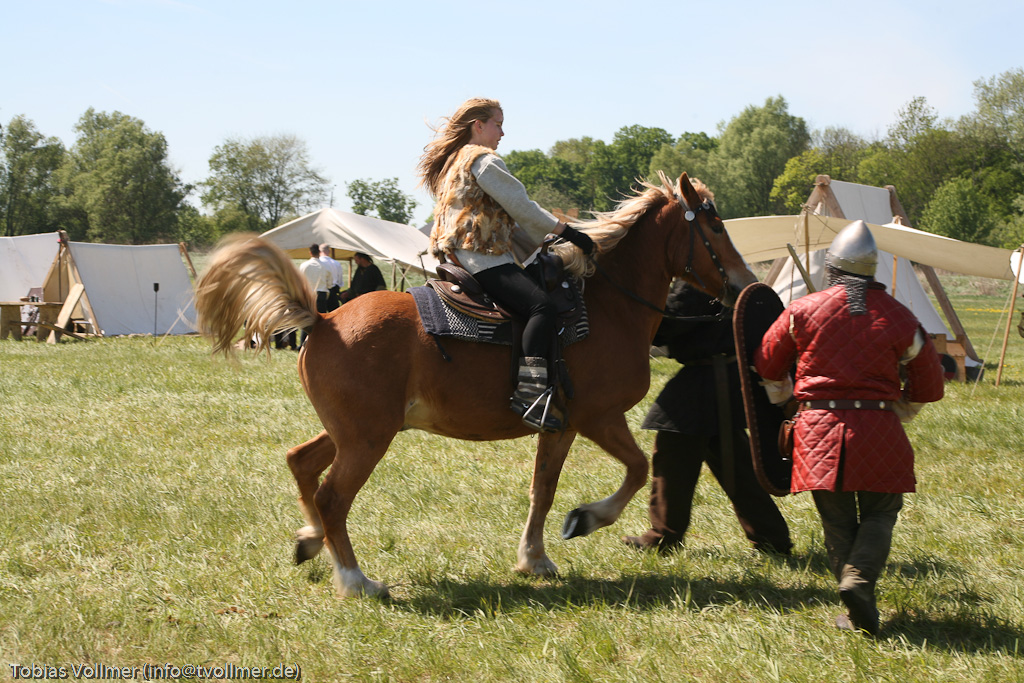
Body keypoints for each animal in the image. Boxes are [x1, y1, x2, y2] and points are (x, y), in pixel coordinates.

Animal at [194, 171, 757, 599]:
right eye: (714, 225)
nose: (743, 282)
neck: (605, 307)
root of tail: (324, 319)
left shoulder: (560, 425)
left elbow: (543, 489)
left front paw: (534, 558)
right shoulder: (598, 417)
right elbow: (637, 469)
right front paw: (587, 518)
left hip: (352, 431)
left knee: (302, 464)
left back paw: (311, 540)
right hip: (367, 438)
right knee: (333, 496)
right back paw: (356, 581)